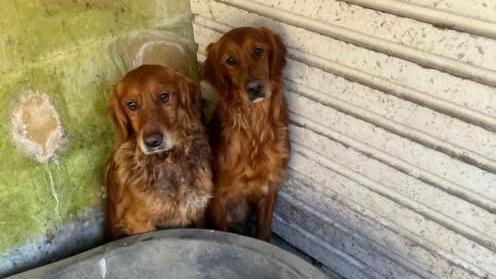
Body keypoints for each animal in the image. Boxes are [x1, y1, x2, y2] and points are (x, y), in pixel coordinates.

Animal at [104, 64, 213, 240]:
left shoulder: (198, 208)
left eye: (164, 96)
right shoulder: (138, 221)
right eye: (131, 105)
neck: (168, 160)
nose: (152, 142)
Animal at [203, 26, 290, 241]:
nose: (254, 88)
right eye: (230, 60)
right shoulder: (218, 198)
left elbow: (264, 229)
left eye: (258, 51)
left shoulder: (270, 185)